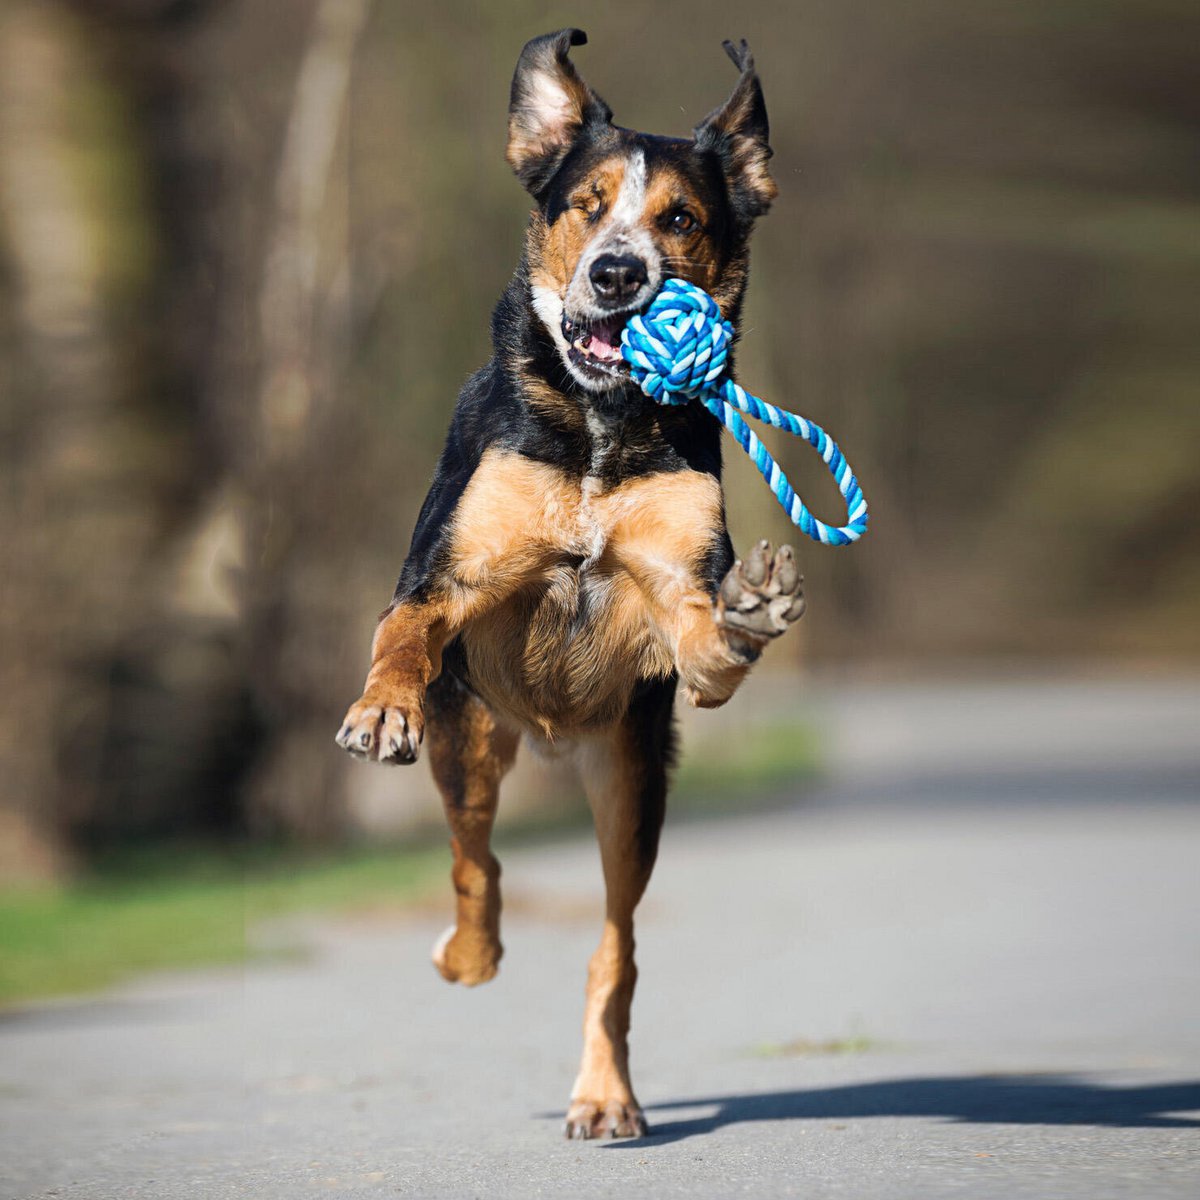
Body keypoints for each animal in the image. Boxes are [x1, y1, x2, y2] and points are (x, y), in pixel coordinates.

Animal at [338, 25, 806, 1132]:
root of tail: (546, 736)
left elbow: (708, 643)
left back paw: (604, 1096)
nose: (618, 274)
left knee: (616, 946)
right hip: (468, 742)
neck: (600, 427)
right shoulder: (446, 573)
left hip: (630, 780)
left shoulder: (676, 600)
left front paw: (753, 610)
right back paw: (466, 955)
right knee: (476, 865)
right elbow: (405, 626)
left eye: (679, 217)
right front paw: (380, 708)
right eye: (587, 203)